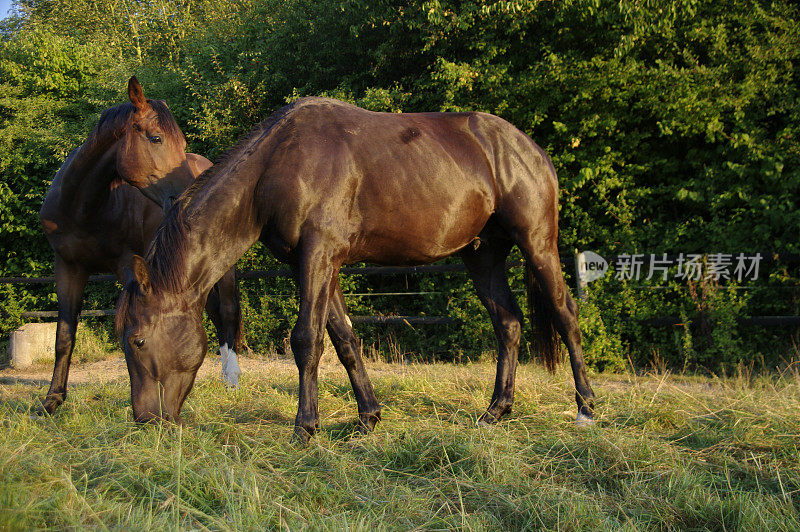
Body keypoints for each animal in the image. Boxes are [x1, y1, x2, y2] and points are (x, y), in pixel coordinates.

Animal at [36, 77, 244, 414]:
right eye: (156, 138)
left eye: (182, 143)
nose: (188, 195)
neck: (84, 207)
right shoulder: (67, 267)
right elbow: (64, 336)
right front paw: (52, 400)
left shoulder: (128, 267)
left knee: (226, 310)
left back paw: (231, 377)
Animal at [117, 96, 592, 440]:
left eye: (137, 341)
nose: (144, 419)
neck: (276, 164)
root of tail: (529, 148)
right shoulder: (316, 264)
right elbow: (343, 338)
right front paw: (368, 417)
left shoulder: (318, 255)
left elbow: (306, 340)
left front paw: (305, 427)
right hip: (482, 255)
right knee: (508, 324)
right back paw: (496, 411)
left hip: (537, 244)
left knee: (566, 313)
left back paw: (585, 409)